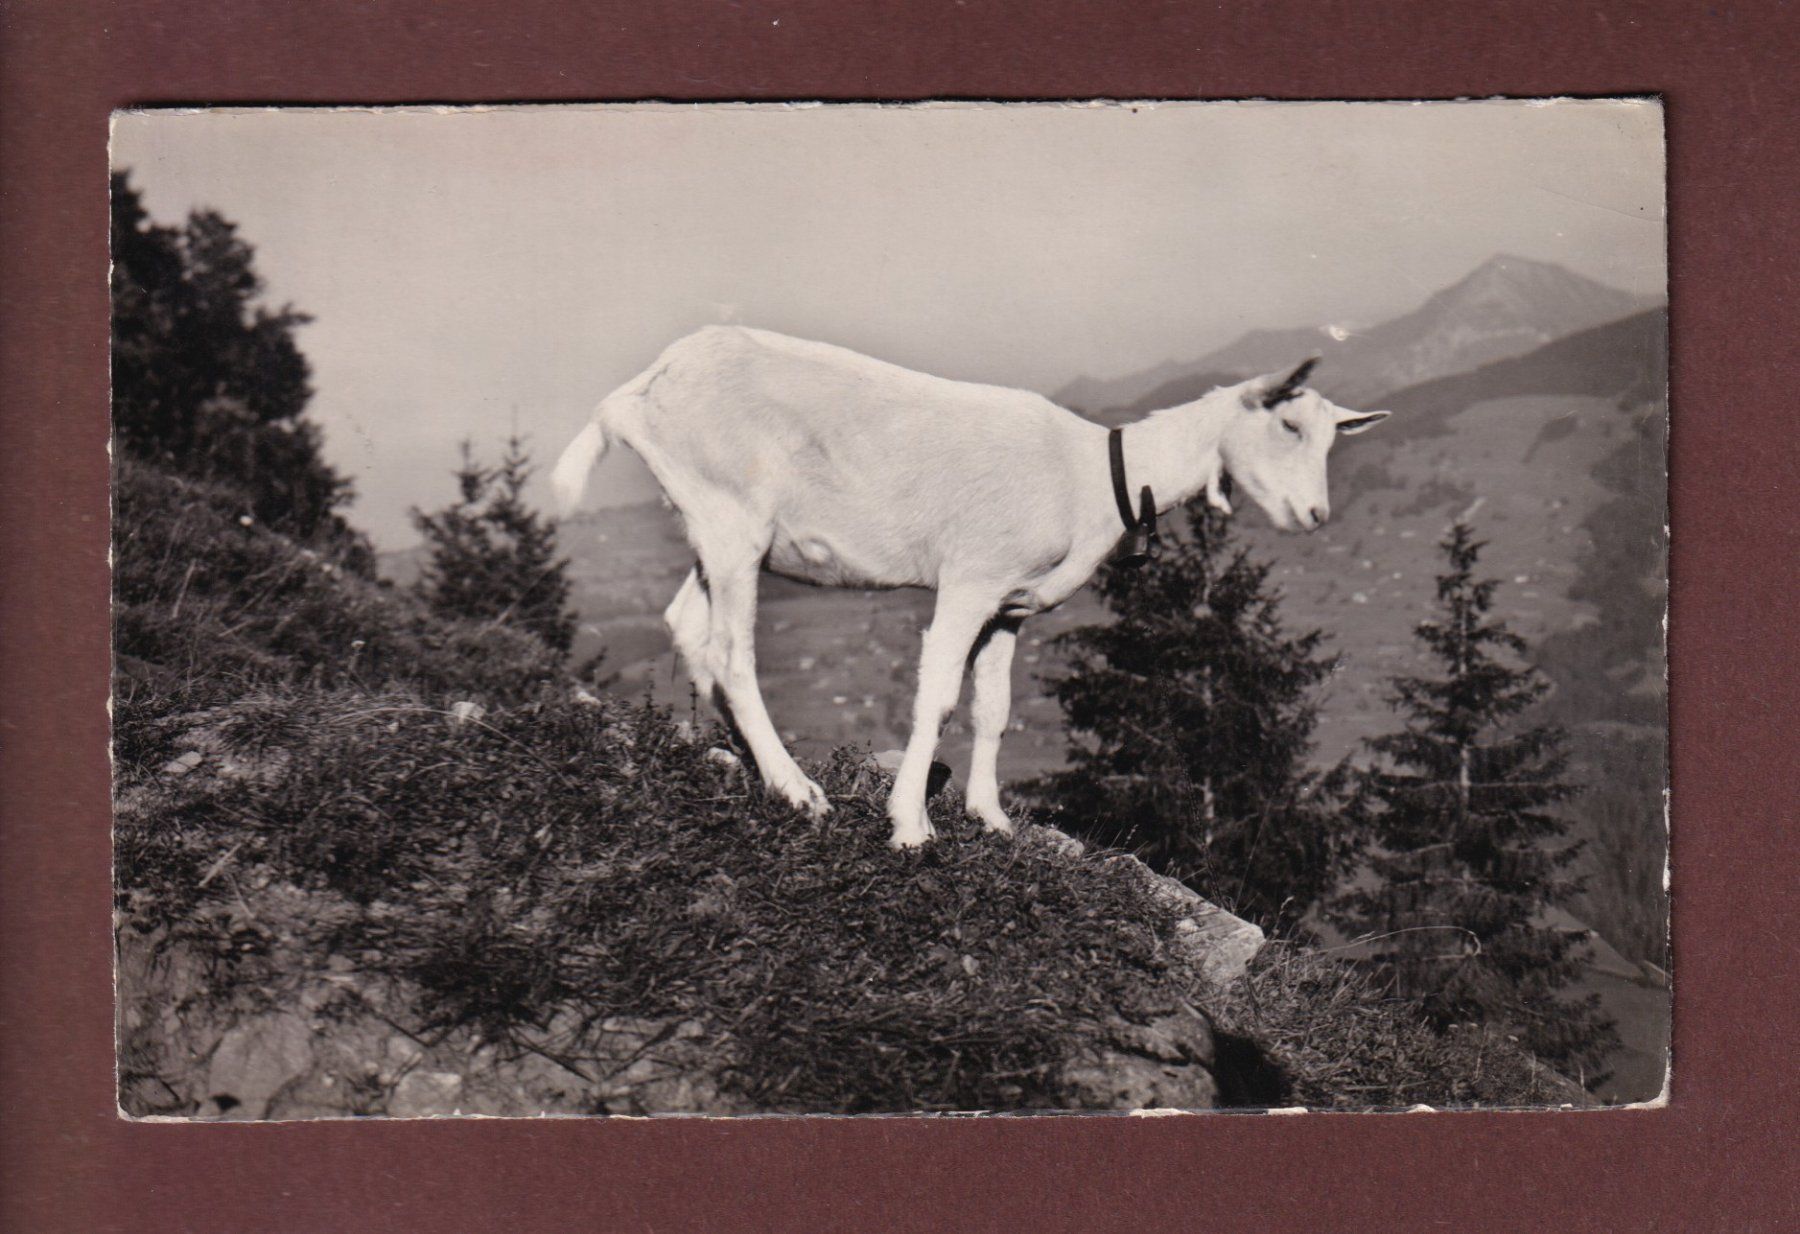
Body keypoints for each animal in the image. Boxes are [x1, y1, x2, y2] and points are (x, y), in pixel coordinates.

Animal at [553, 326, 1389, 848]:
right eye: (1287, 427)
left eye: (1327, 438)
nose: (1314, 515)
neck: (1094, 475)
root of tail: (646, 387)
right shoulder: (969, 579)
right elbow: (938, 698)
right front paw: (910, 827)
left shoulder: (1010, 607)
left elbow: (994, 710)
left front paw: (991, 817)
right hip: (732, 520)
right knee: (732, 652)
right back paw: (794, 788)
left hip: (716, 529)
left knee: (687, 625)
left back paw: (734, 758)